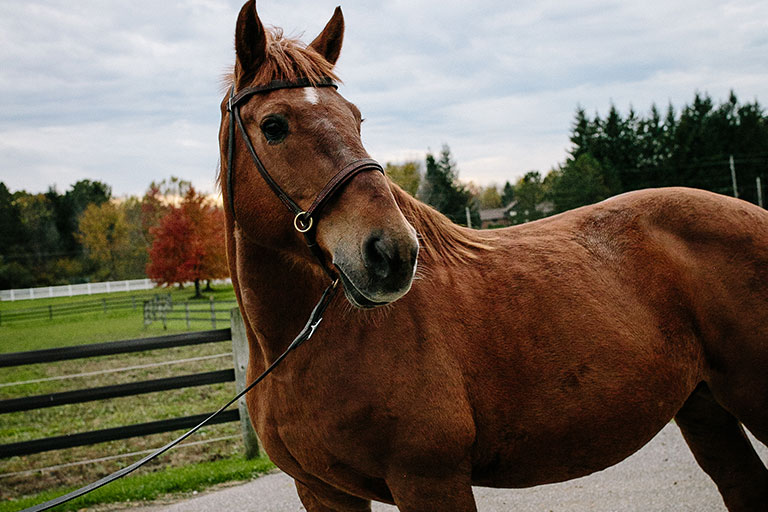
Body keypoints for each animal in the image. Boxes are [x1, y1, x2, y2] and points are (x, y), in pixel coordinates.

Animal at [218, 2, 768, 510]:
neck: (301, 347)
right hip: (705, 408)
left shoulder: (430, 481)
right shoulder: (323, 492)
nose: (392, 252)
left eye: (356, 118)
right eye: (274, 125)